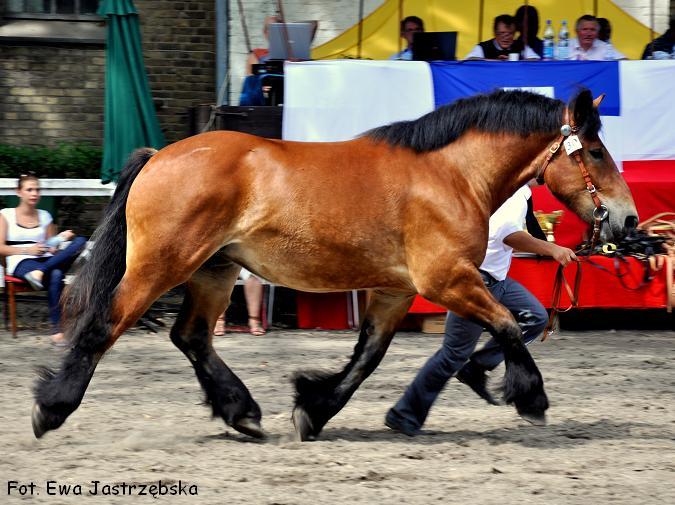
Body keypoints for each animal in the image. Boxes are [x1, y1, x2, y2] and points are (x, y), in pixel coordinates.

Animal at [33, 88, 640, 440]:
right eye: (594, 152)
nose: (628, 220)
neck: (449, 175)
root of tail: (160, 155)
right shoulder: (446, 280)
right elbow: (510, 325)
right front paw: (531, 396)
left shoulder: (397, 291)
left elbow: (366, 357)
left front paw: (313, 408)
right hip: (162, 266)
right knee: (105, 326)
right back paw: (52, 409)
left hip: (214, 270)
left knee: (191, 337)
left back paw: (242, 413)